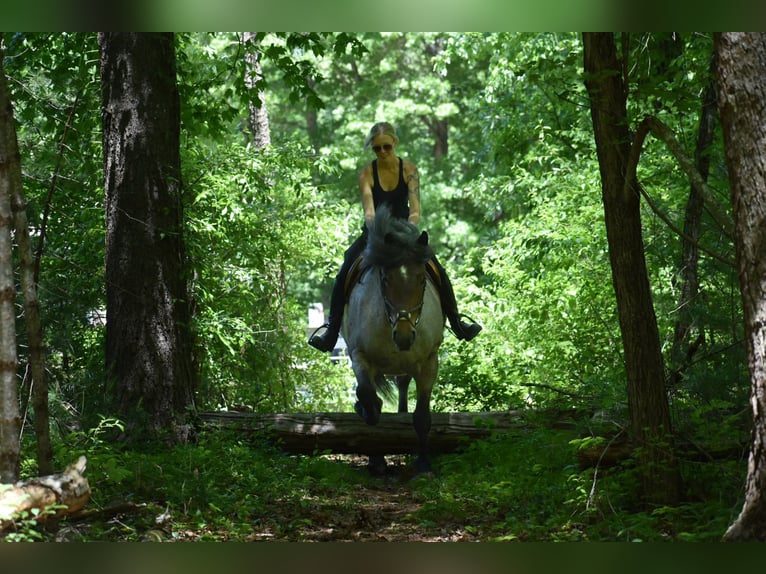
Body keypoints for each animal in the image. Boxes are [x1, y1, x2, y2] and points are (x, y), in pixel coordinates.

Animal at [344, 207, 448, 476]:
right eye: (385, 279)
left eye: (422, 280)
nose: (403, 336)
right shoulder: (360, 357)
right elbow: (370, 402)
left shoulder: (429, 362)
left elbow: (422, 417)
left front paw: (423, 465)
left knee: (403, 387)